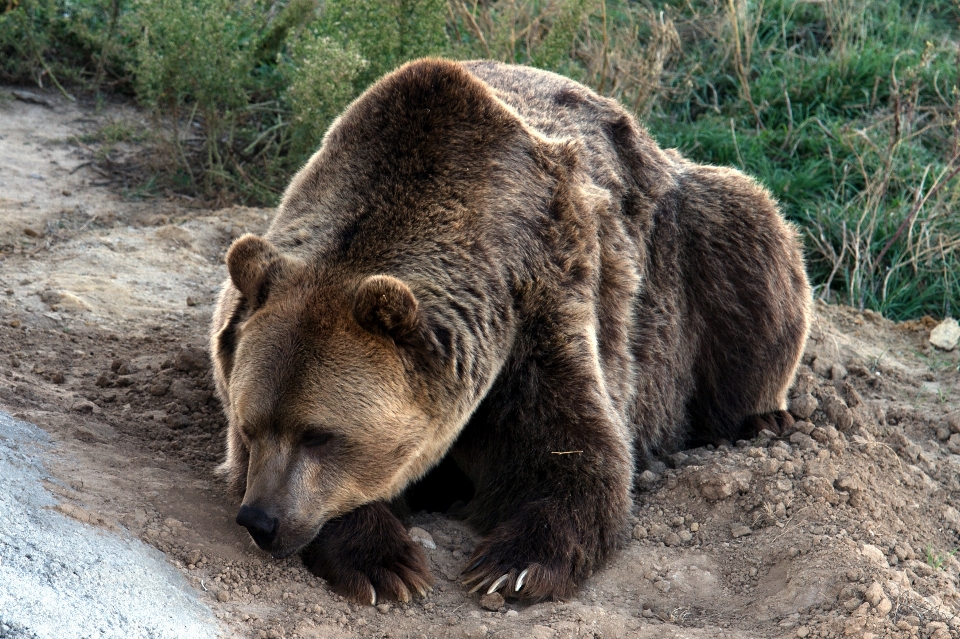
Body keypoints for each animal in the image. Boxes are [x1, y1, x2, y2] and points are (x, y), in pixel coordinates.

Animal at [212, 57, 808, 608]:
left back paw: (764, 418)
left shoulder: (541, 306)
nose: (261, 520)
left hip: (692, 245)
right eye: (249, 425)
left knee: (751, 238)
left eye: (319, 434)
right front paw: (384, 562)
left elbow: (574, 453)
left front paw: (511, 566)